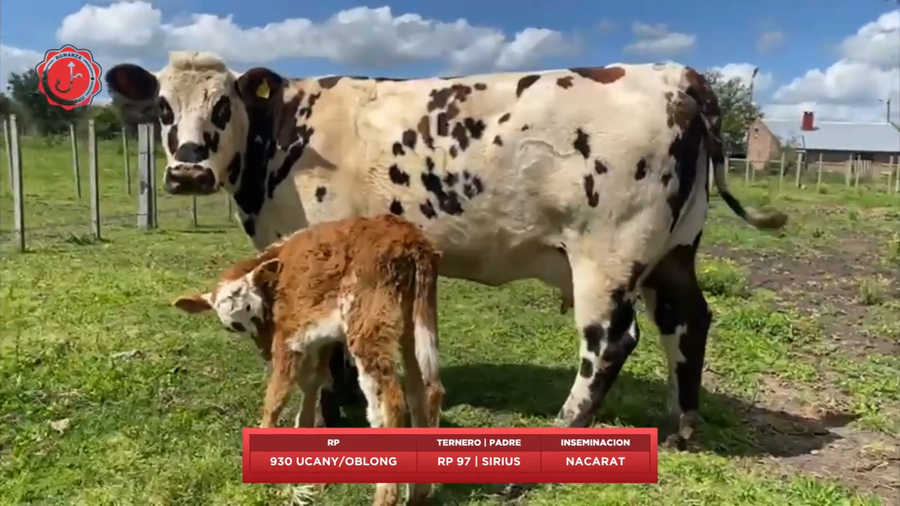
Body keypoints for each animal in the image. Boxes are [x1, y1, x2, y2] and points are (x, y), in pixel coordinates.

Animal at [105, 52, 787, 448]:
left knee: (611, 341)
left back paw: (565, 428)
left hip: (607, 254)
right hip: (674, 250)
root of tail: (676, 75)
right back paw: (683, 425)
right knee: (687, 321)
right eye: (162, 107)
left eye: (224, 104)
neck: (283, 137)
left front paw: (333, 408)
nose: (188, 171)